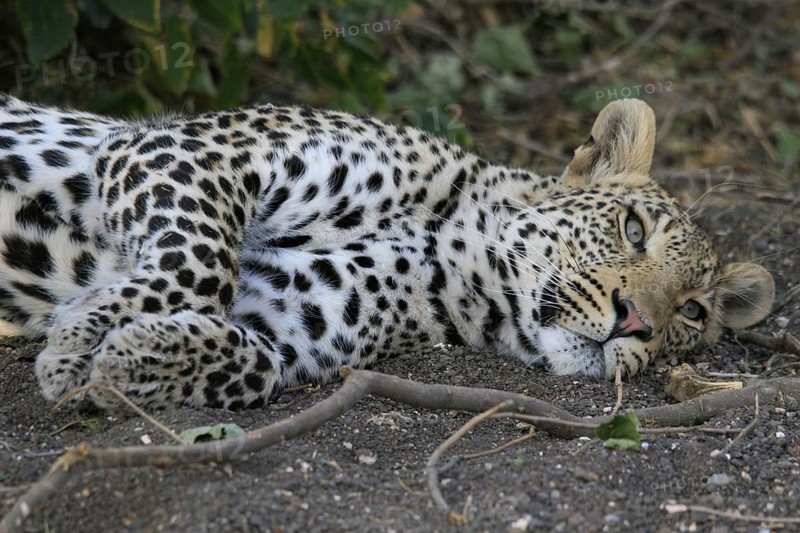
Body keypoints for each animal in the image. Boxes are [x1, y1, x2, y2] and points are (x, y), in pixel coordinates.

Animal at [0, 94, 774, 410]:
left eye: (691, 311)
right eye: (632, 228)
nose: (636, 321)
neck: (459, 258)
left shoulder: (294, 321)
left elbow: (251, 360)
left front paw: (122, 358)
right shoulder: (186, 150)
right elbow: (199, 262)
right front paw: (81, 339)